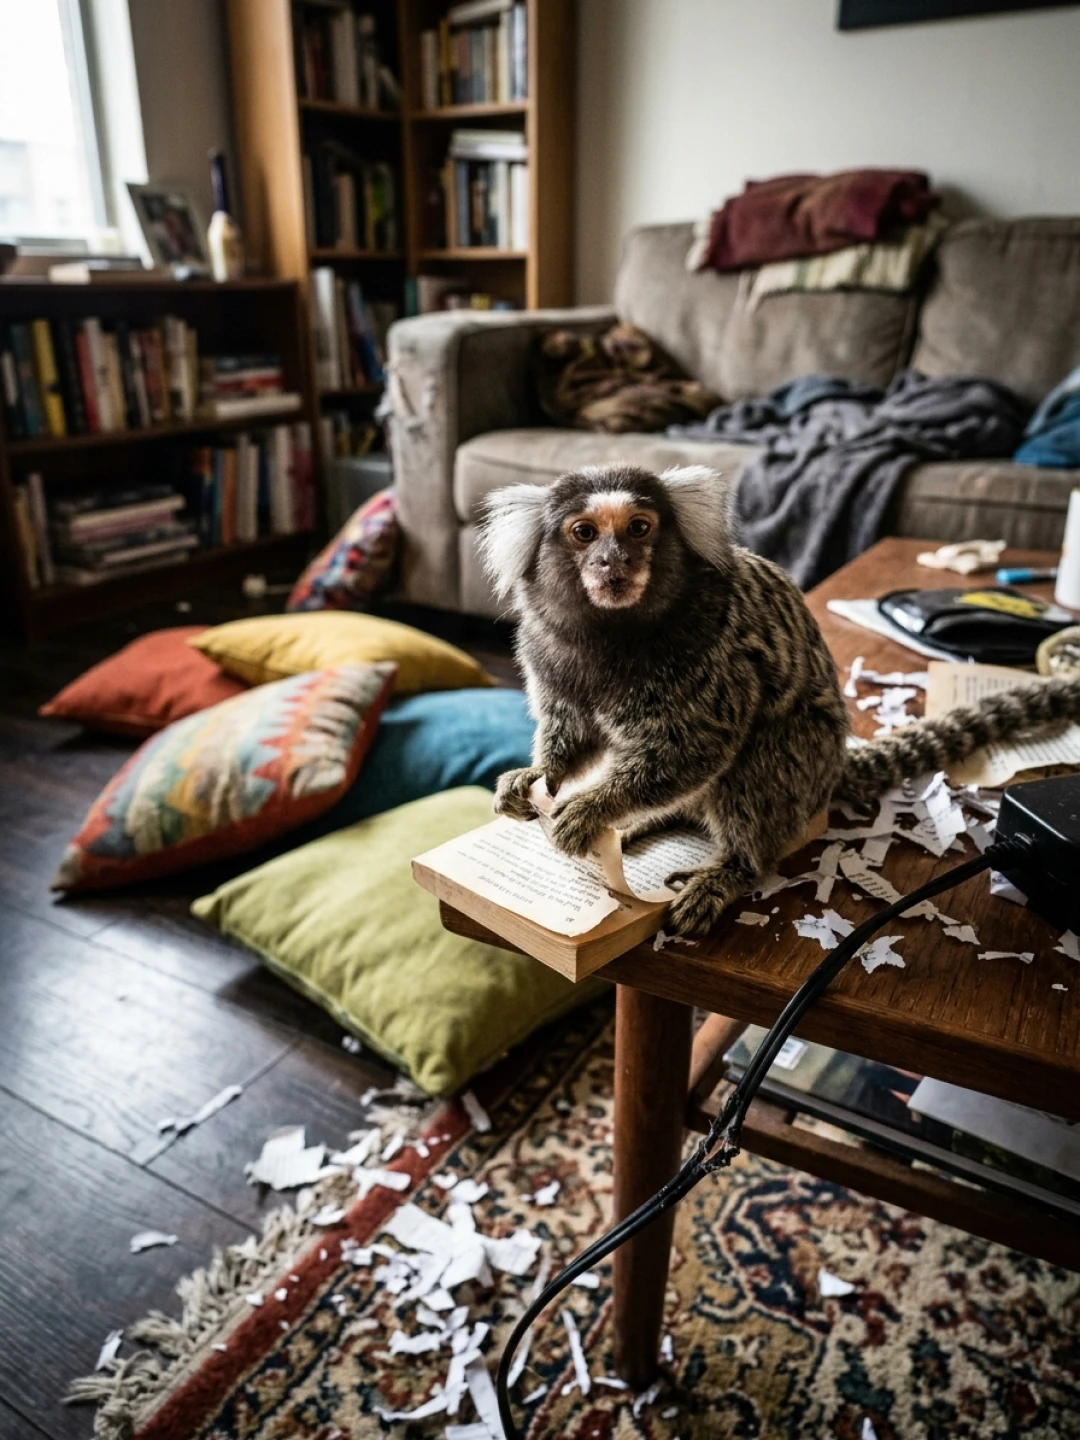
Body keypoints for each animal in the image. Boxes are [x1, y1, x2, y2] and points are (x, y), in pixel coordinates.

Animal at [477, 463, 1080, 937]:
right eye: (584, 533)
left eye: (638, 529)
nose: (612, 562)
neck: (614, 634)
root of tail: (834, 766)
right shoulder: (548, 652)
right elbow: (573, 734)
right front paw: (535, 778)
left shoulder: (713, 656)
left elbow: (697, 747)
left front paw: (590, 808)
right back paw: (645, 824)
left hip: (804, 759)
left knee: (756, 761)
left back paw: (727, 873)